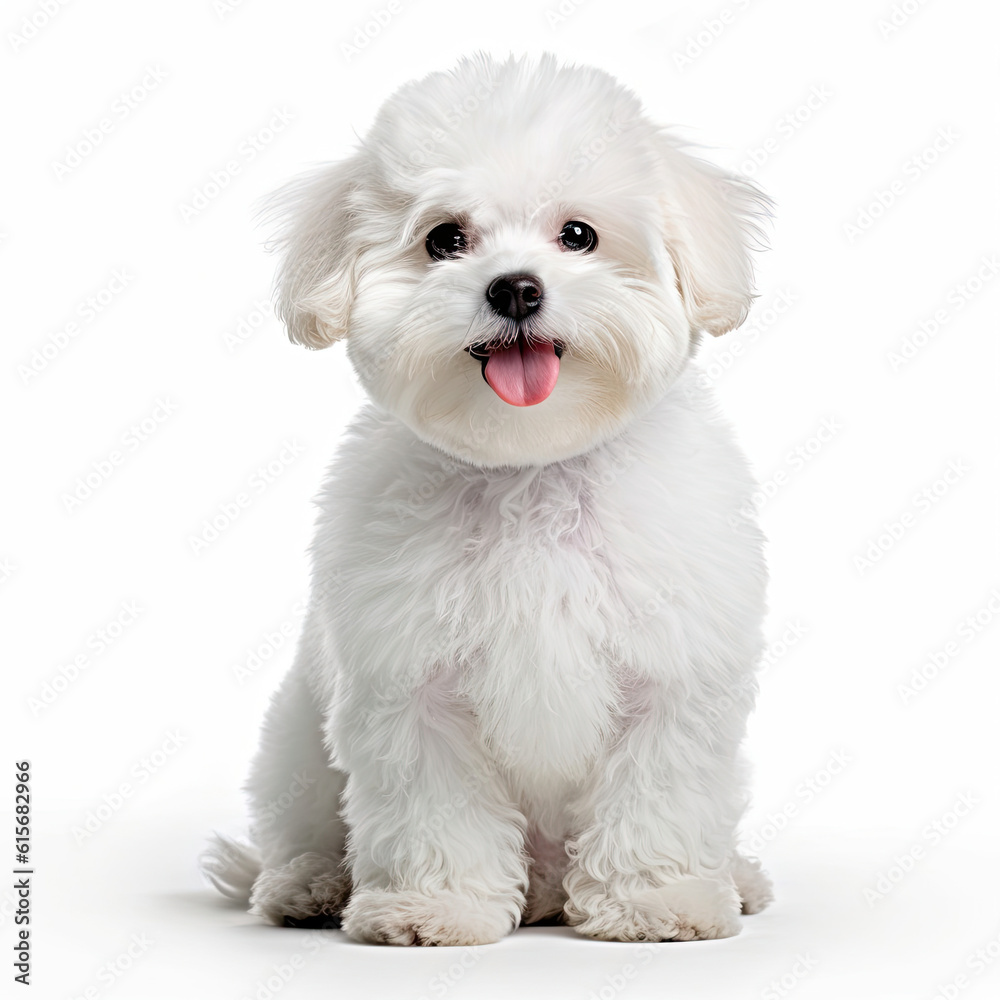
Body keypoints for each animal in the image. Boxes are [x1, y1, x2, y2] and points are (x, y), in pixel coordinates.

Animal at [203, 52, 776, 944]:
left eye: (578, 234)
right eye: (445, 239)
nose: (514, 288)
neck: (530, 468)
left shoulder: (671, 677)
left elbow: (657, 792)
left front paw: (658, 899)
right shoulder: (412, 686)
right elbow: (436, 807)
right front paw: (431, 907)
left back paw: (734, 878)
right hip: (296, 742)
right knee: (299, 825)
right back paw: (310, 885)